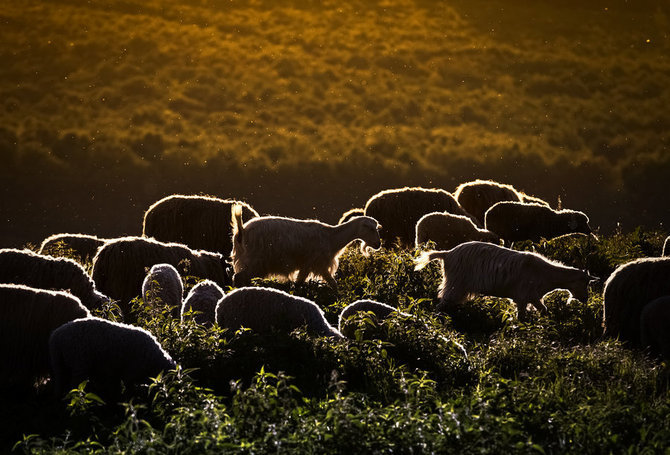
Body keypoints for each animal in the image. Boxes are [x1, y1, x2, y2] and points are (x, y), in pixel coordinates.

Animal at [49, 318, 177, 398]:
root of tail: (56, 336)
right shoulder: (130, 373)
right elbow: (128, 389)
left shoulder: (115, 372)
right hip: (78, 364)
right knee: (74, 386)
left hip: (59, 363)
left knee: (59, 383)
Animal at [231, 207, 380, 288]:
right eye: (371, 228)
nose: (378, 245)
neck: (332, 237)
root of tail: (241, 231)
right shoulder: (318, 263)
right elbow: (333, 284)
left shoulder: (308, 266)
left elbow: (300, 284)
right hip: (255, 261)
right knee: (238, 278)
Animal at [418, 242, 596, 320]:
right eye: (584, 282)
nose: (585, 299)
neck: (546, 274)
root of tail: (447, 254)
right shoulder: (523, 296)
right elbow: (522, 317)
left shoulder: (533, 297)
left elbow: (544, 310)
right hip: (456, 283)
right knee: (442, 303)